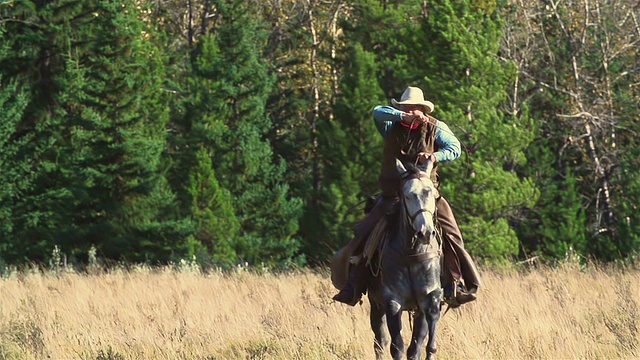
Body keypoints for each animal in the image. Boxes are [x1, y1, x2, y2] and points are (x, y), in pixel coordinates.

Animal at [368, 158, 442, 360]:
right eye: (408, 195)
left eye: (432, 193)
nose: (425, 232)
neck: (411, 253)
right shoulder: (393, 302)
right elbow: (397, 346)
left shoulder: (428, 298)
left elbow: (419, 346)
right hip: (375, 304)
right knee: (380, 341)